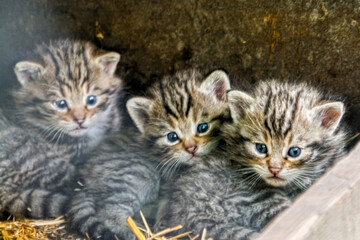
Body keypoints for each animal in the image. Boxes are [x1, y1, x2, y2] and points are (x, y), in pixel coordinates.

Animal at [67, 68, 231, 239]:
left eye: (203, 127)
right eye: (172, 137)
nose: (191, 149)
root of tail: (83, 182)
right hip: (137, 174)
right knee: (109, 211)